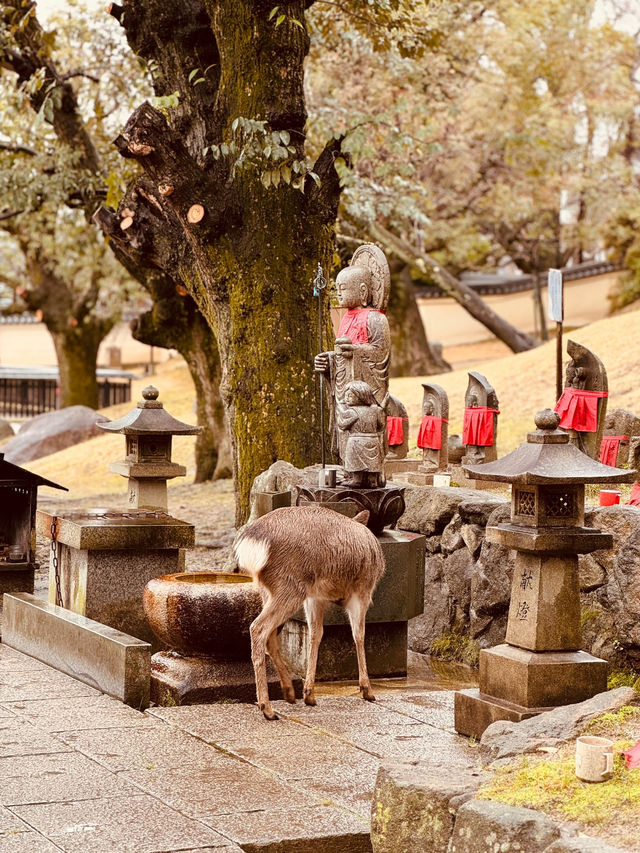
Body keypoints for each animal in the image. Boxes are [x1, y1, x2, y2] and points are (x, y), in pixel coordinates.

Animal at [235, 506, 384, 720]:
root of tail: (249, 546)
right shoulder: (362, 591)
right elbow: (359, 635)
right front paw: (367, 690)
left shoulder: (315, 598)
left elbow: (316, 634)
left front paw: (309, 694)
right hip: (290, 587)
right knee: (258, 628)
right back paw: (267, 708)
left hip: (269, 589)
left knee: (270, 636)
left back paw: (288, 692)